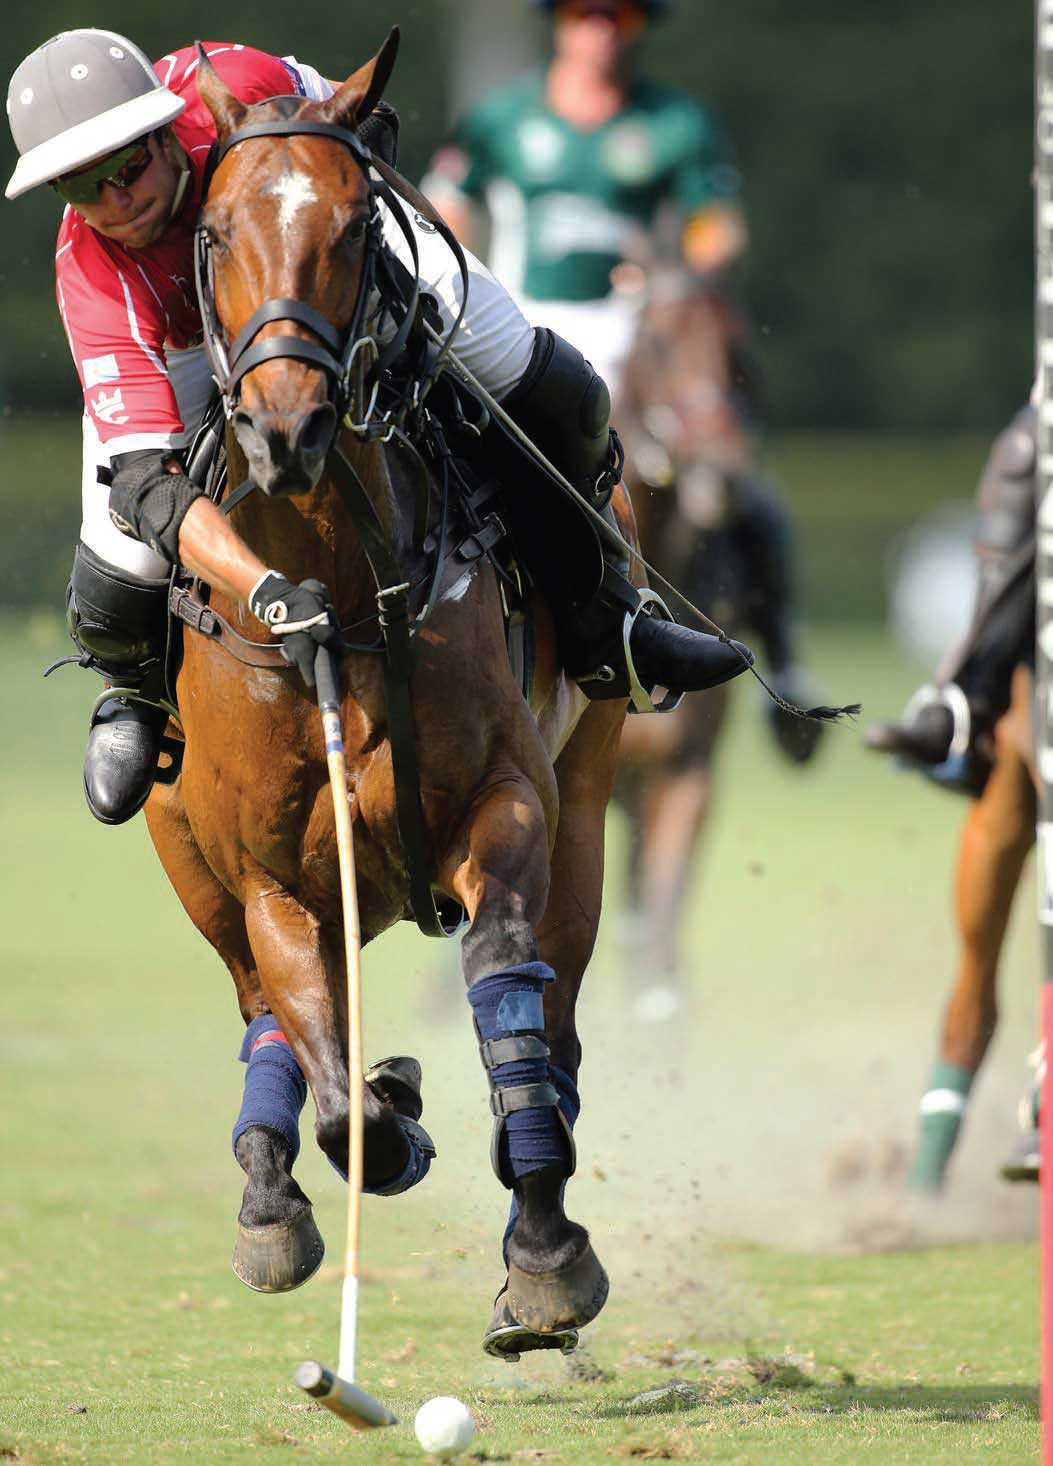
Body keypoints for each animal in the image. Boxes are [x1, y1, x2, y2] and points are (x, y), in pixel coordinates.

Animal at [143, 35, 628, 1358]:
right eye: (212, 234)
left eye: (361, 226)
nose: (287, 426)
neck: (349, 586)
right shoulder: (271, 878)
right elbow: (330, 1079)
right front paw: (386, 1120)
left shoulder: (509, 801)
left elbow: (509, 989)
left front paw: (546, 1258)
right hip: (188, 856)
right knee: (262, 1013)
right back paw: (274, 1198)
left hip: (588, 794)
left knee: (559, 1013)